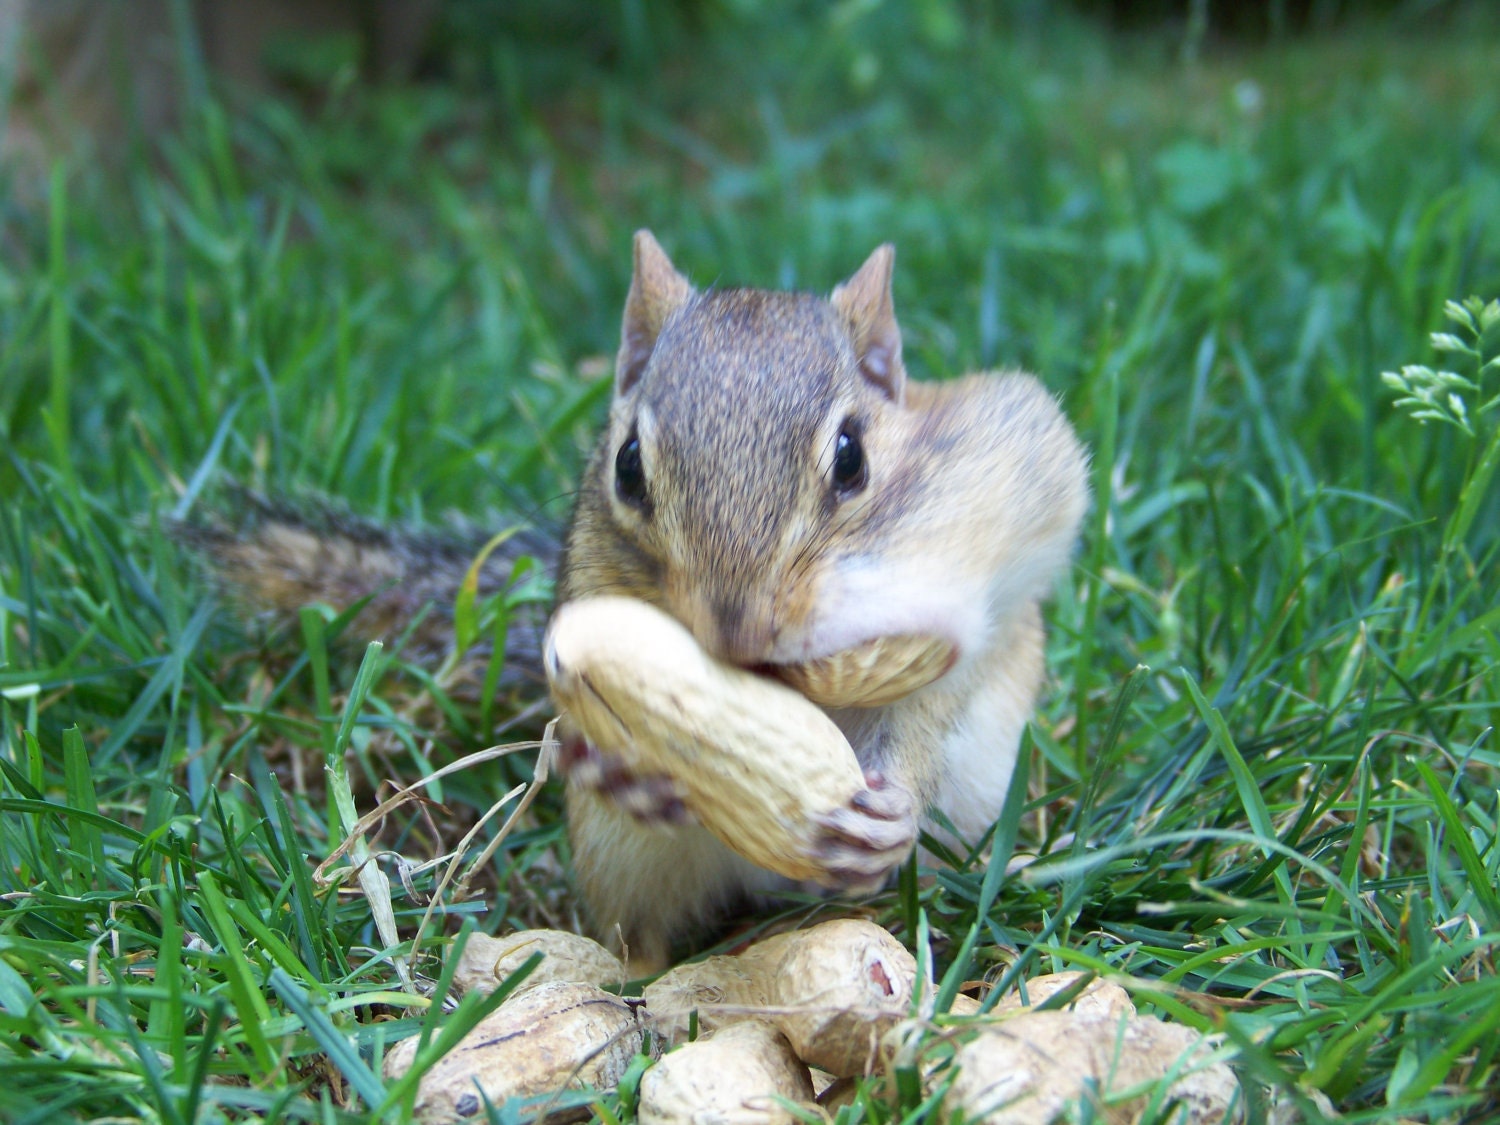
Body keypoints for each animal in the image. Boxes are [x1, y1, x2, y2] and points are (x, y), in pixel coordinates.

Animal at [184, 231, 1089, 970]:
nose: (735, 633)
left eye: (852, 458)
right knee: (643, 934)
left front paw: (891, 809)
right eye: (625, 466)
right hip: (620, 858)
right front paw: (625, 767)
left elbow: (929, 704)